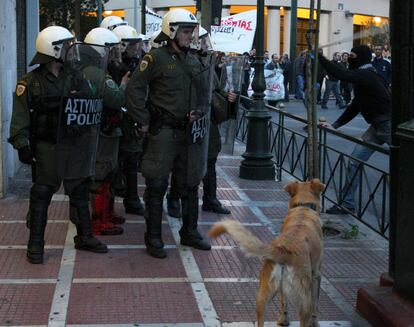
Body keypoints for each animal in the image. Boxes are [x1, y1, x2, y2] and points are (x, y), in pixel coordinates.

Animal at [209, 179, 326, 327]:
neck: (303, 208)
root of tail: (284, 251)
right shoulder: (316, 275)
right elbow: (316, 304)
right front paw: (315, 322)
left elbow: (283, 301)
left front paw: (283, 319)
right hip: (304, 300)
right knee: (308, 310)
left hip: (263, 296)